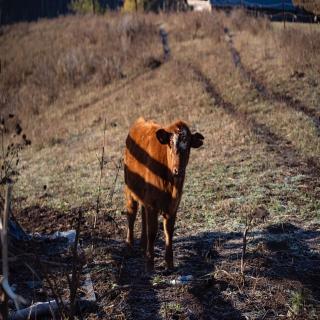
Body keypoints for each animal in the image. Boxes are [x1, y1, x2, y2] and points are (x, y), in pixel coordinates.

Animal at [124, 117, 204, 270]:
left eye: (188, 146)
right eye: (170, 144)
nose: (178, 170)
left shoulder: (173, 205)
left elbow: (169, 230)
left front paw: (169, 262)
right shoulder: (152, 203)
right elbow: (152, 231)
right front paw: (150, 263)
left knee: (143, 215)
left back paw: (142, 245)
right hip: (129, 190)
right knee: (131, 214)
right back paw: (129, 245)